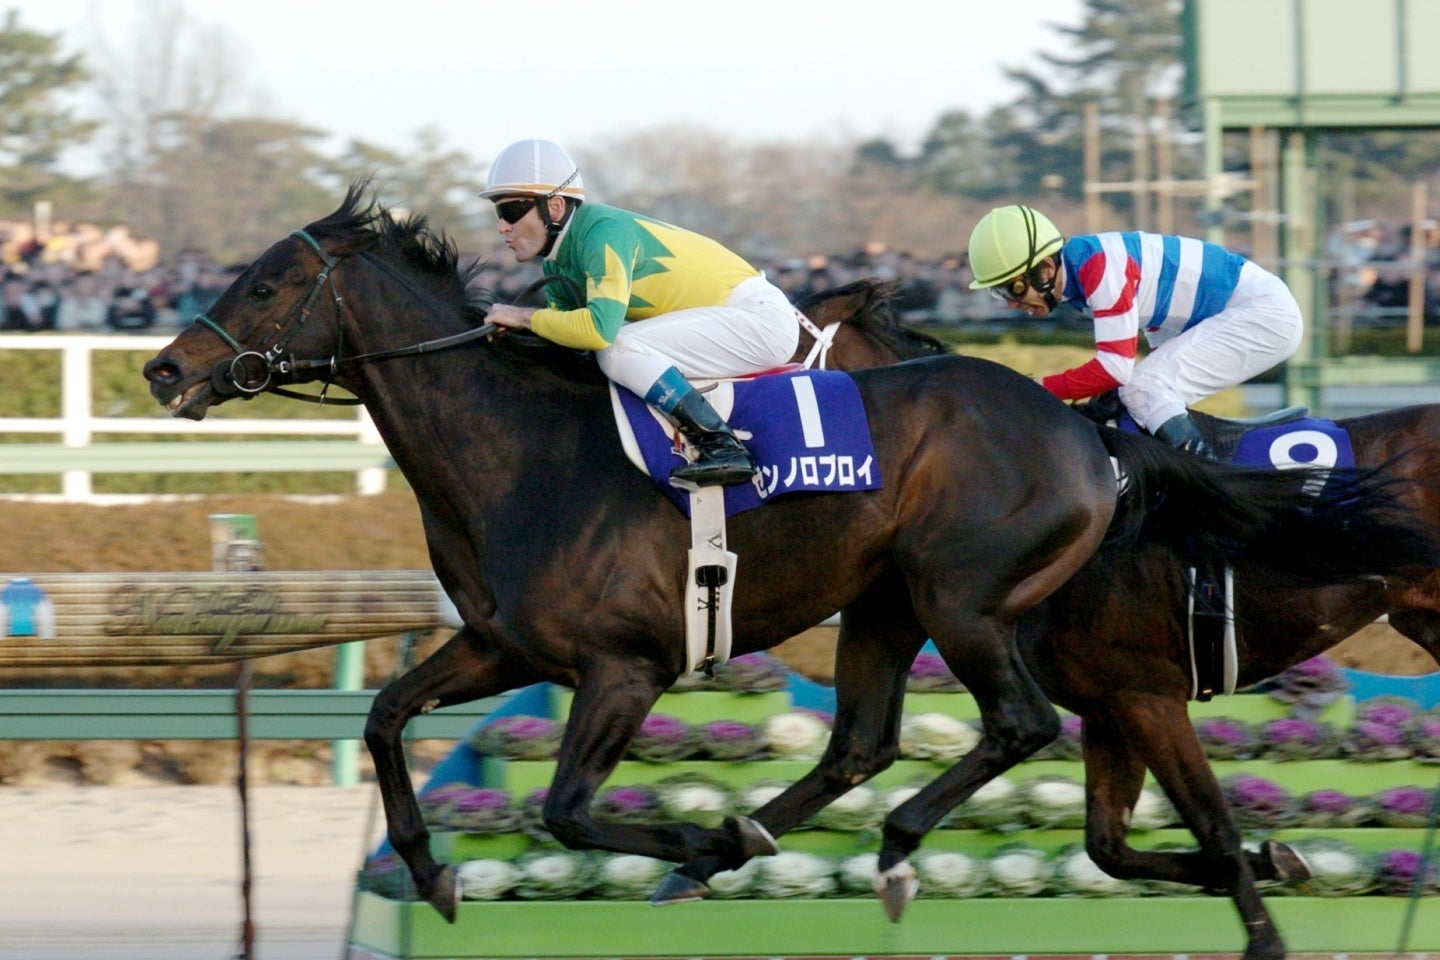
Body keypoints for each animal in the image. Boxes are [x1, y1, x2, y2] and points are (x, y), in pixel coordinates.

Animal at [138, 186, 1435, 937]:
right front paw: (432, 869)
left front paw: (696, 847)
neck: (523, 453)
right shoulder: (503, 644)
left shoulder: (626, 667)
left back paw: (866, 851)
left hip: (960, 598)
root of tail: (1083, 437)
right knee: (866, 740)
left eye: (266, 281)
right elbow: (384, 718)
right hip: (890, 605)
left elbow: (563, 810)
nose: (160, 370)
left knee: (1010, 725)